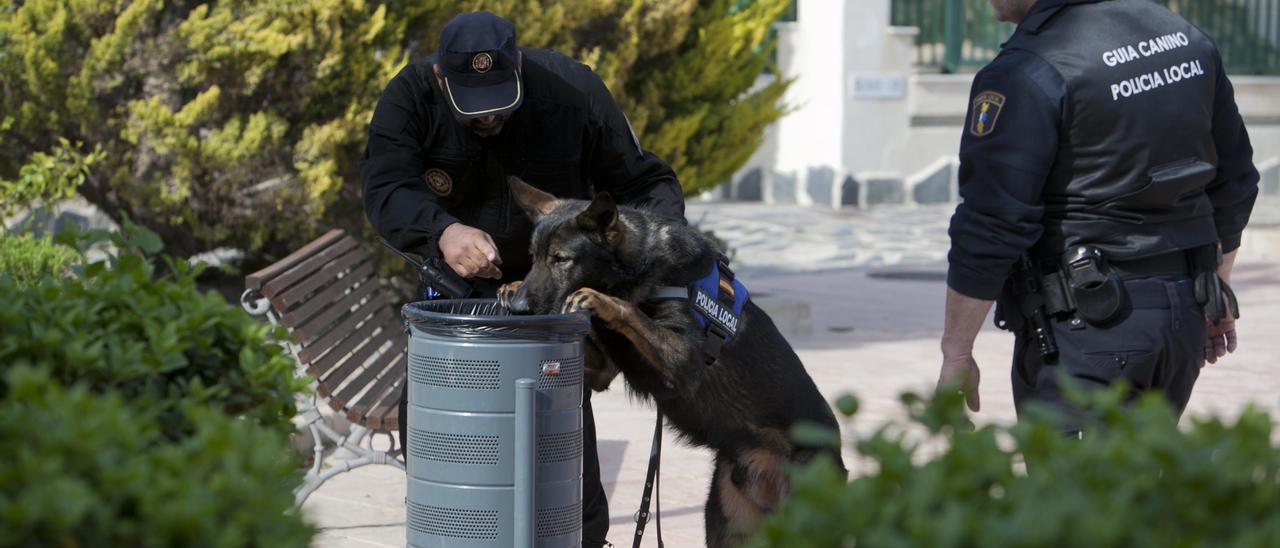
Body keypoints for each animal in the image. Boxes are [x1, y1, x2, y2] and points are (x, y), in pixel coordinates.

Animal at [501, 177, 849, 545]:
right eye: (534, 258)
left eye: (561, 259)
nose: (520, 308)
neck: (642, 264)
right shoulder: (602, 371)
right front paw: (511, 285)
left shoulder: (682, 360)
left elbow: (630, 312)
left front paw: (602, 300)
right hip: (728, 524)